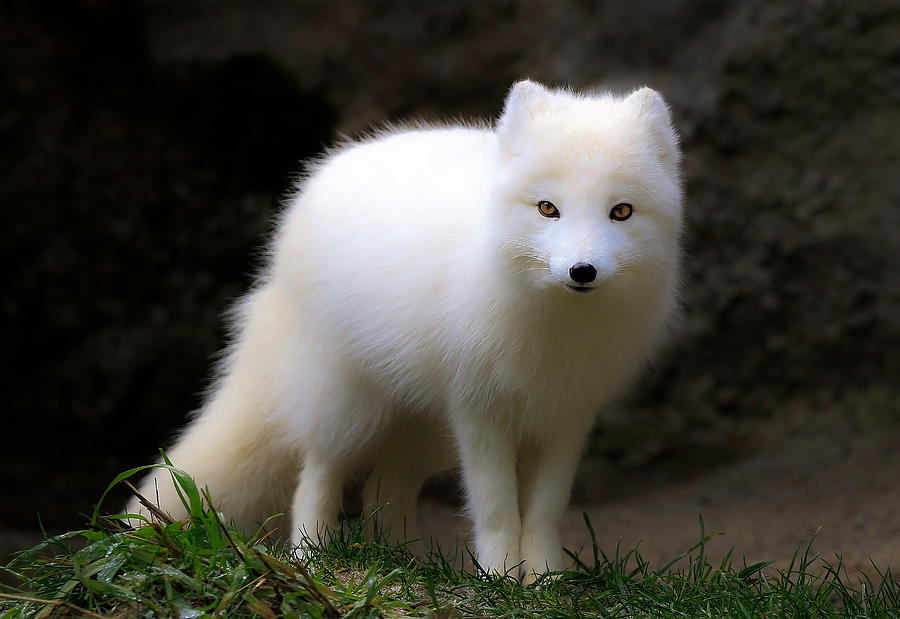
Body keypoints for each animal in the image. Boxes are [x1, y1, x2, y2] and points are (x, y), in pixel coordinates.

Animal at [128, 80, 684, 580]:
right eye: (548, 208)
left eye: (621, 211)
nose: (582, 271)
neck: (557, 329)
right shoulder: (479, 410)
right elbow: (496, 509)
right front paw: (502, 580)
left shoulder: (568, 415)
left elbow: (544, 511)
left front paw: (546, 583)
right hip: (349, 405)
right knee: (317, 476)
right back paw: (313, 558)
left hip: (423, 426)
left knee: (383, 490)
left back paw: (404, 564)